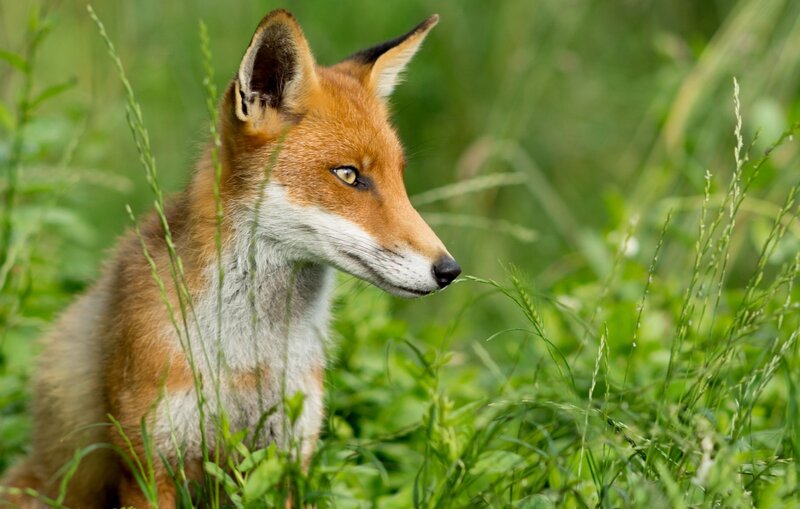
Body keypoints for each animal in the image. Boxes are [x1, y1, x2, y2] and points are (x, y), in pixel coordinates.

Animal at [0, 9, 460, 509]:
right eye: (348, 175)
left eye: (400, 176)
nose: (449, 270)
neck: (247, 358)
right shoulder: (149, 466)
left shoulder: (286, 457)